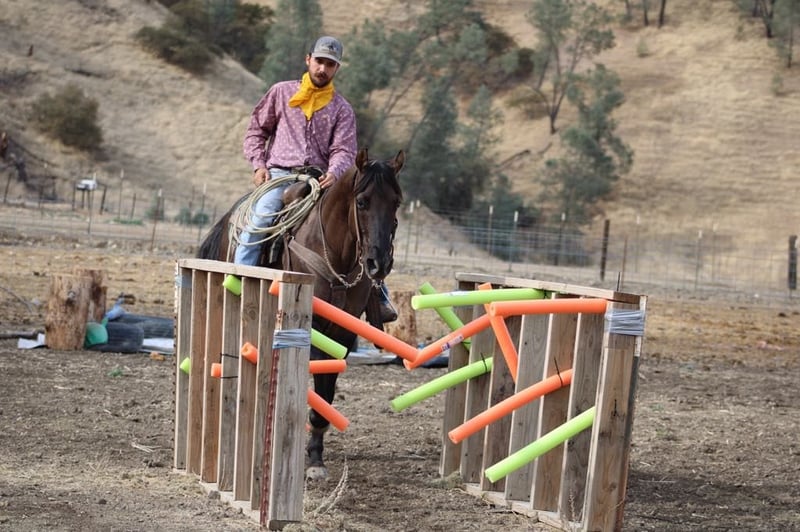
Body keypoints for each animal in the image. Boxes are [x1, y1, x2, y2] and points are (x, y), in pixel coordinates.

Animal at [197, 148, 404, 479]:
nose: (379, 263)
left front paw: (316, 458)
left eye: (396, 202)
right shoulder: (315, 328)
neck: (335, 254)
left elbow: (325, 393)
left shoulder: (342, 334)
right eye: (362, 201)